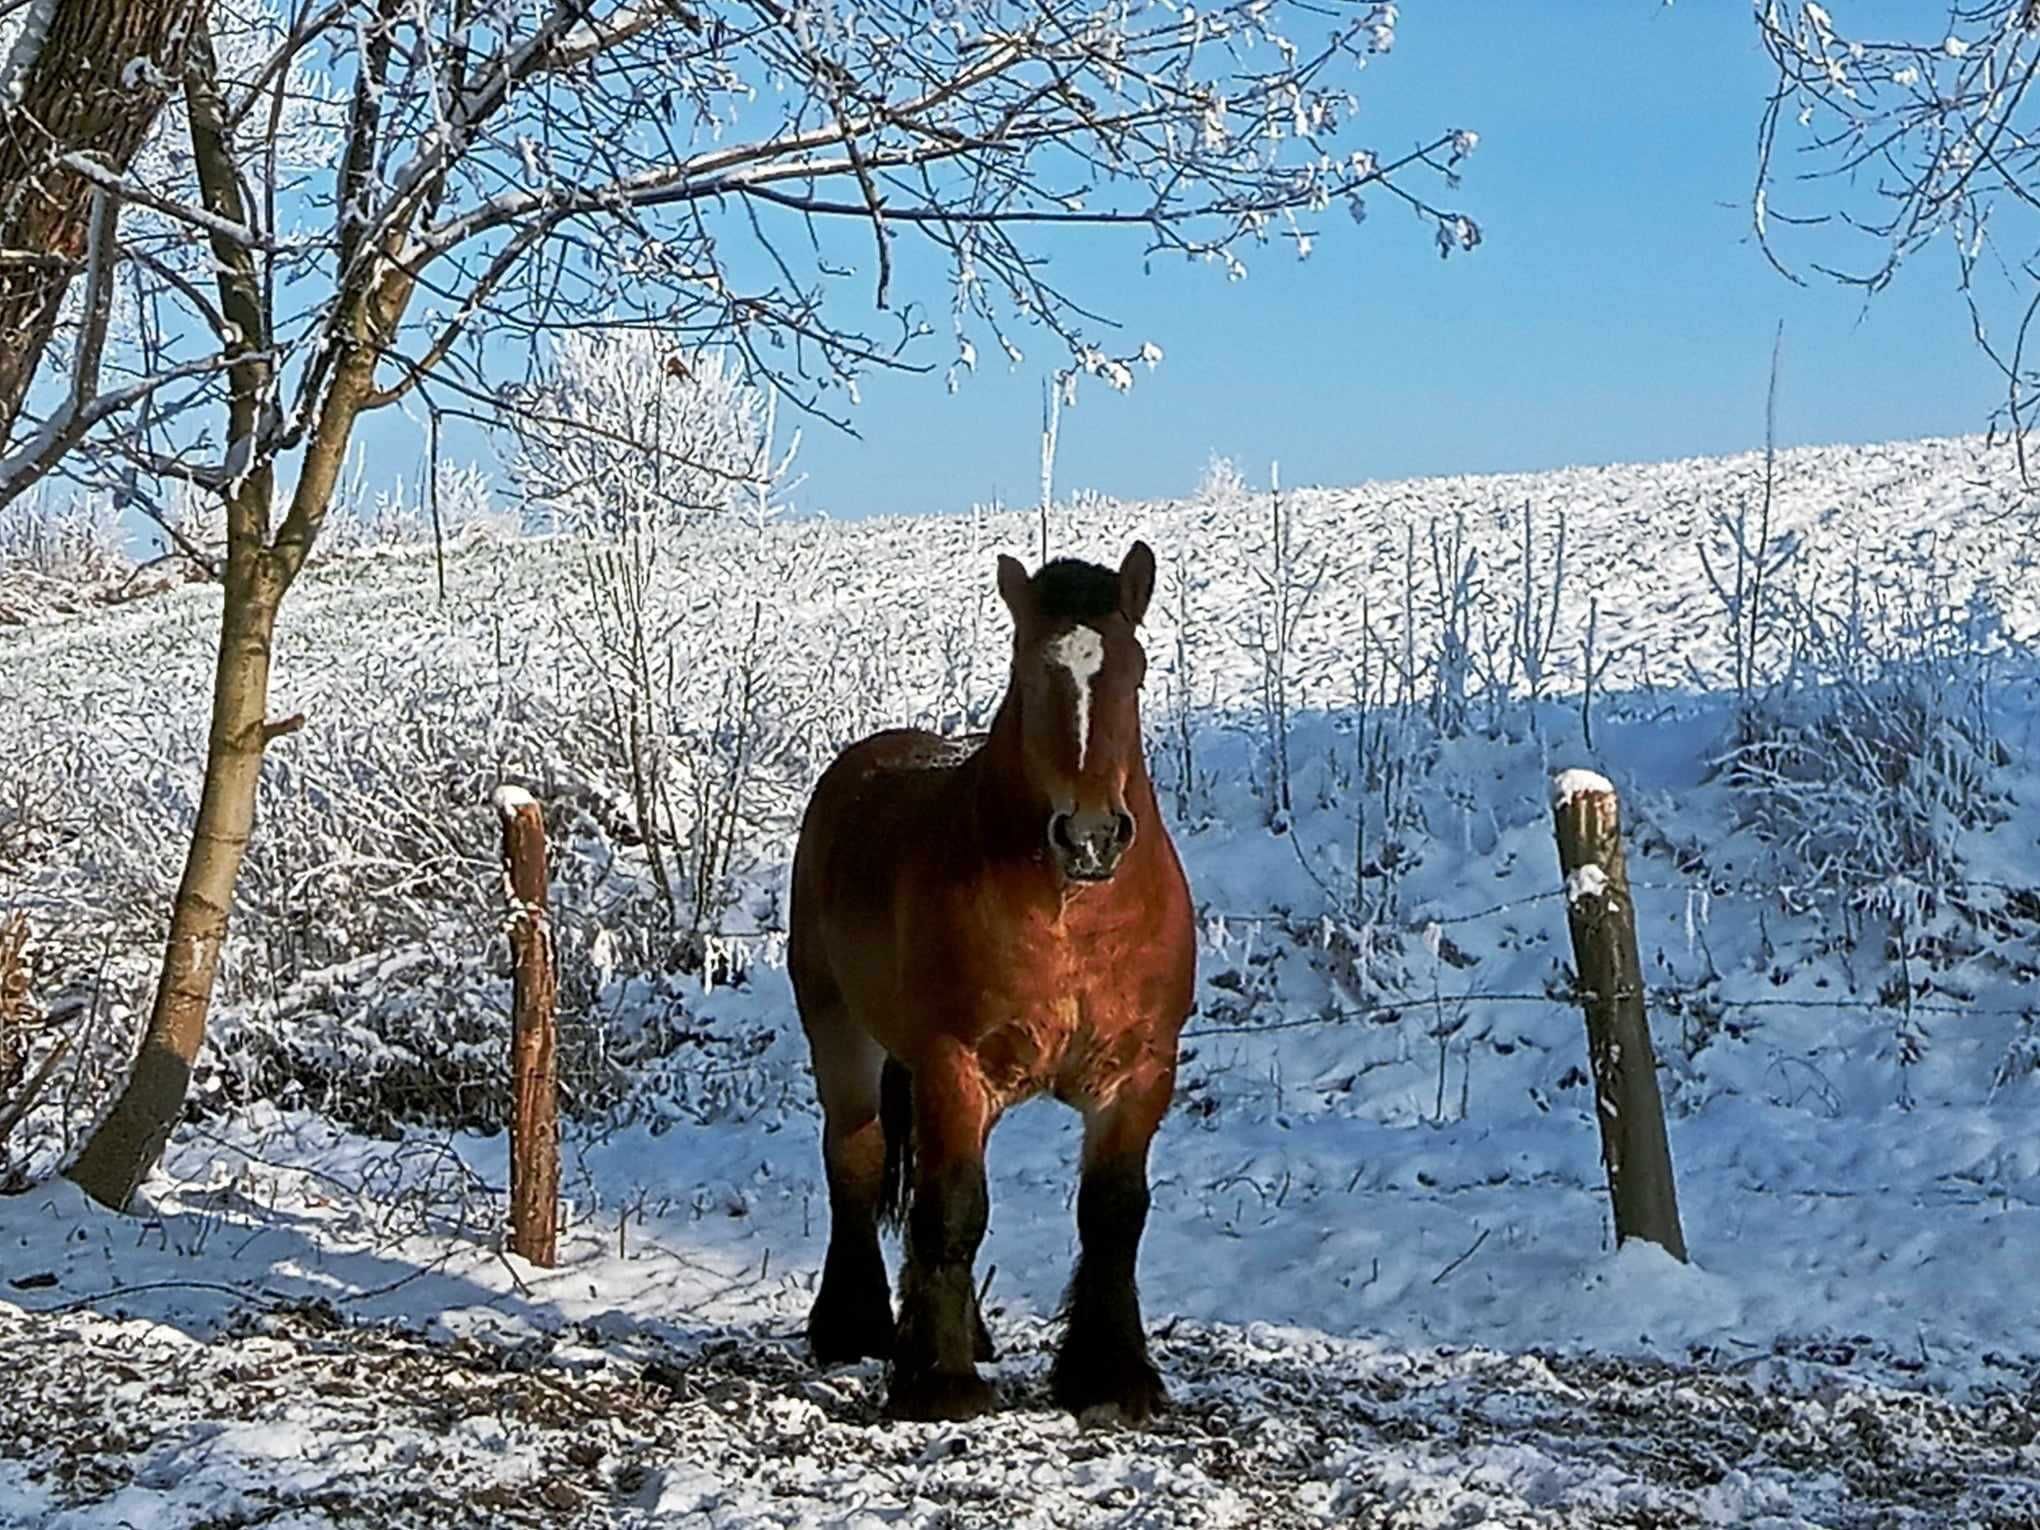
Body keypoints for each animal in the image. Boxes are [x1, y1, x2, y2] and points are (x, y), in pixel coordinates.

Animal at [783, 542, 1191, 1428]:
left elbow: (1113, 1214)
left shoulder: (1140, 1073)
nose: (1091, 836)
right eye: (1027, 673)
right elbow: (952, 1210)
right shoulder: (952, 1064)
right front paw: (939, 1382)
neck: (1075, 917)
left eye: (1135, 673)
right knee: (856, 1160)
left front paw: (1111, 1376)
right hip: (842, 1037)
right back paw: (855, 1326)